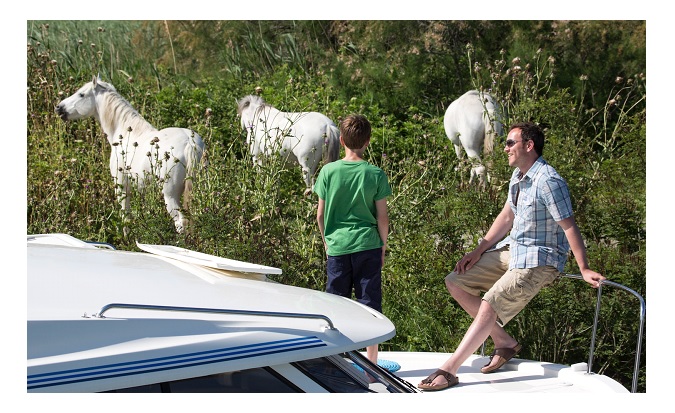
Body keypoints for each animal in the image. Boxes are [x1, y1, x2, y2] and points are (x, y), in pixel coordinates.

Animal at [55, 75, 206, 233]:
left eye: (81, 94)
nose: (59, 108)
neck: (126, 132)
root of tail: (190, 143)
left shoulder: (122, 185)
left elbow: (125, 217)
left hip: (170, 195)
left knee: (180, 222)